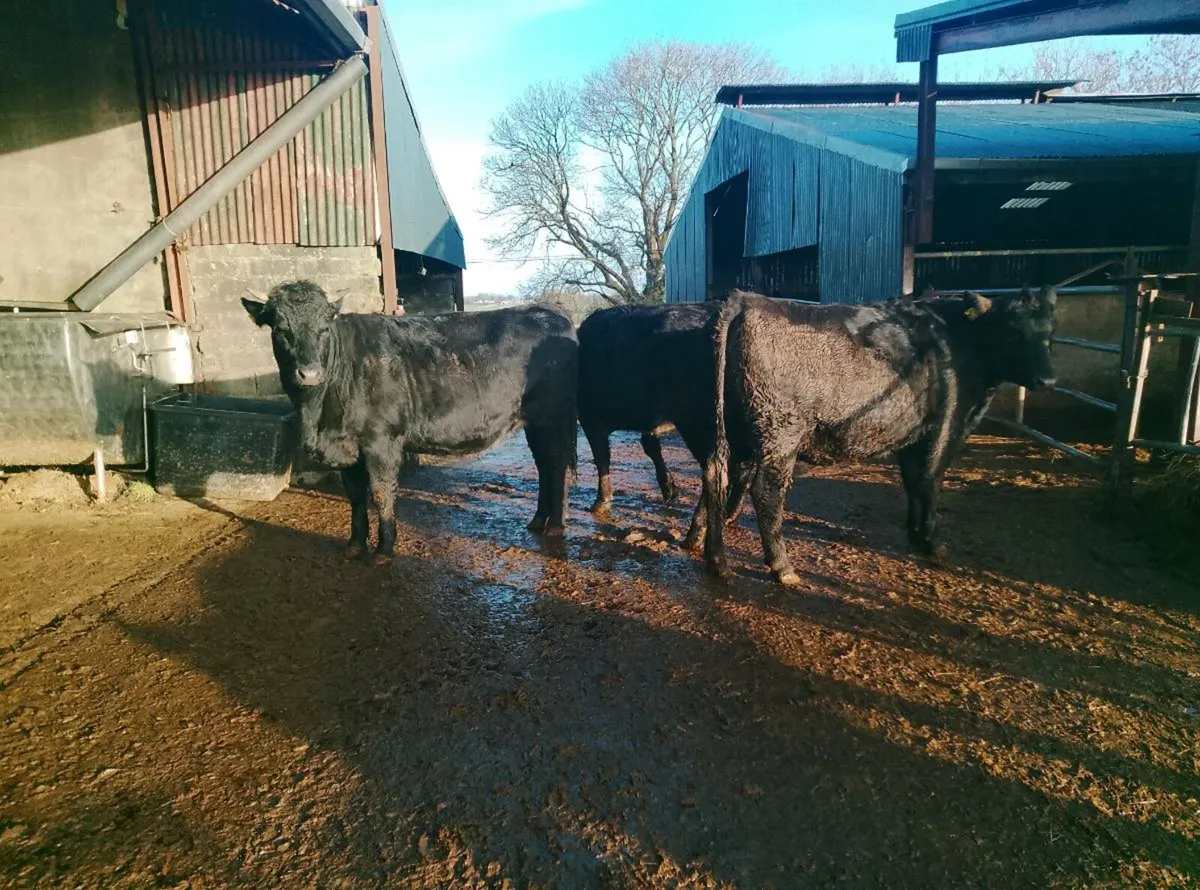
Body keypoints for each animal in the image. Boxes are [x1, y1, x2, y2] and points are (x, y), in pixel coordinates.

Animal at [243, 281, 578, 565]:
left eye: (324, 328)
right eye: (280, 329)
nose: (310, 373)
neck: (318, 415)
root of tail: (548, 310)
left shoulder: (381, 441)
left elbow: (381, 493)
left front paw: (383, 550)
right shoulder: (348, 446)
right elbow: (355, 495)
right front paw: (355, 545)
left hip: (553, 418)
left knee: (557, 466)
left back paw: (556, 527)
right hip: (534, 423)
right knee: (545, 467)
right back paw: (538, 521)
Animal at [577, 302, 753, 549]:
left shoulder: (590, 418)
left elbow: (602, 458)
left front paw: (601, 502)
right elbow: (650, 446)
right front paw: (669, 488)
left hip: (699, 422)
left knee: (717, 468)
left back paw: (696, 533)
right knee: (743, 466)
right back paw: (729, 513)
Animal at [702, 287, 1057, 585]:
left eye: (1050, 333)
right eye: (1013, 331)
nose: (1049, 380)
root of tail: (747, 299)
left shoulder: (911, 436)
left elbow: (913, 481)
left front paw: (915, 532)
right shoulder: (946, 427)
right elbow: (930, 481)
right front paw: (932, 542)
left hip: (735, 430)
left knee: (719, 476)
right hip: (780, 434)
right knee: (767, 492)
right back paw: (782, 567)